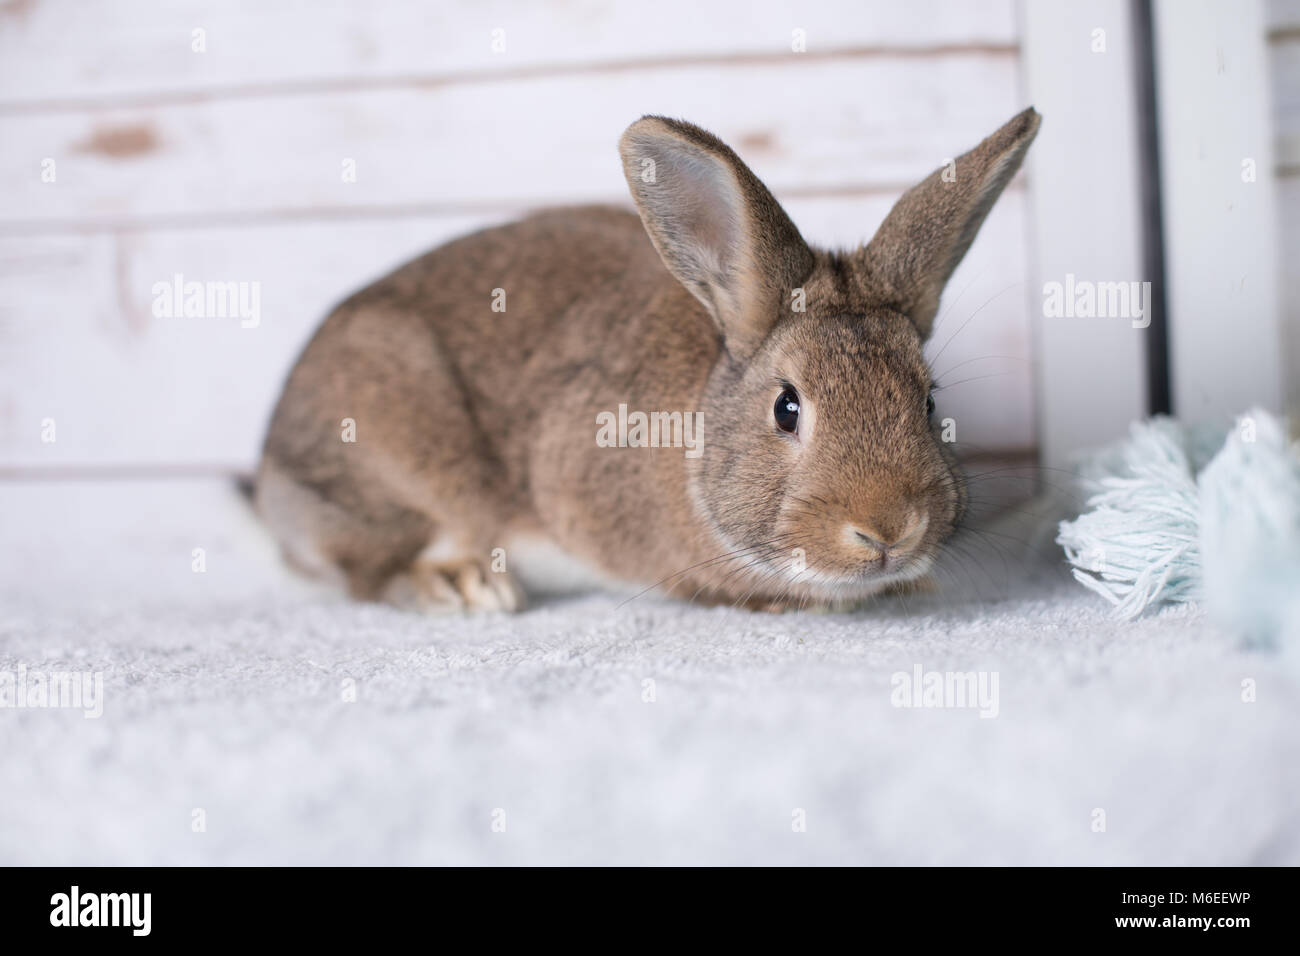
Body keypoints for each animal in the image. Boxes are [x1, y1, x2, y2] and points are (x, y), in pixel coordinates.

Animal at [254, 107, 1041, 612]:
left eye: (929, 402)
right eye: (787, 408)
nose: (888, 531)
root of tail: (267, 481)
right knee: (369, 569)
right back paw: (462, 586)